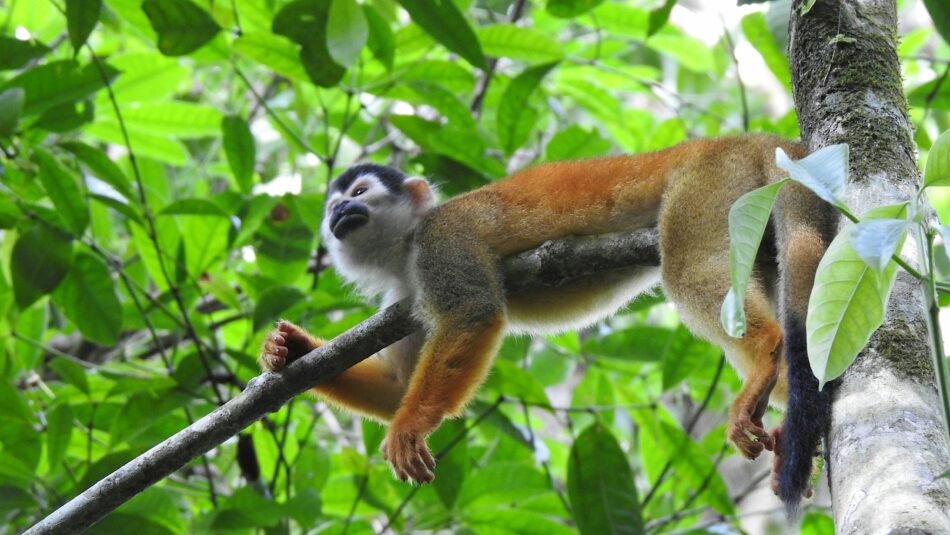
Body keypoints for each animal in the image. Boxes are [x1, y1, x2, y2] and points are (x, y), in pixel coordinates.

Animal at [258, 134, 832, 506]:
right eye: (333, 205)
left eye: (358, 195)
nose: (337, 215)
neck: (404, 249)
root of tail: (739, 138)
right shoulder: (405, 296)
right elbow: (399, 384)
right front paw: (287, 350)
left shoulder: (443, 242)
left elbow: (474, 314)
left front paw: (409, 427)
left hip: (709, 184)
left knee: (689, 268)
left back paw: (765, 354)